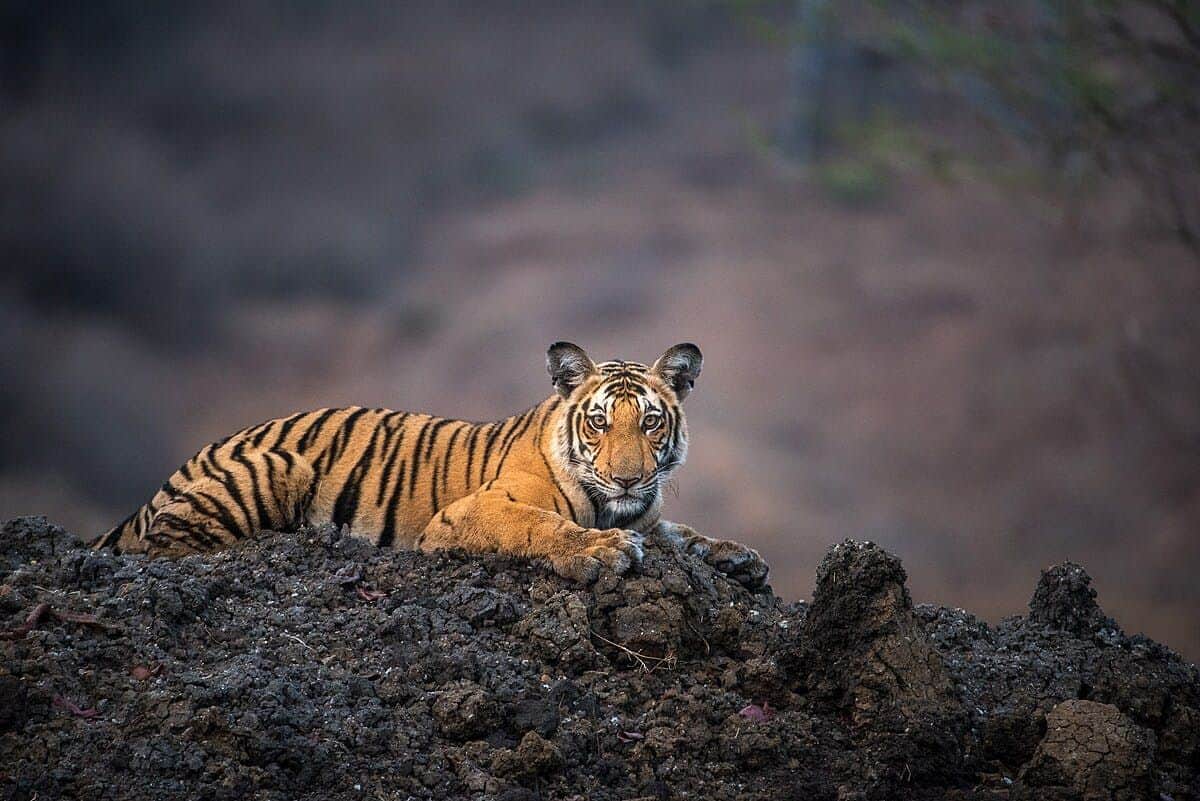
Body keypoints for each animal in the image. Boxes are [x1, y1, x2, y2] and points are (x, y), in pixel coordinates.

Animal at [92, 342, 768, 587]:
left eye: (650, 422)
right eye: (599, 422)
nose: (628, 477)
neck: (616, 505)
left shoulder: (650, 516)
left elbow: (682, 533)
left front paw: (739, 557)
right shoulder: (472, 511)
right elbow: (539, 525)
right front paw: (600, 552)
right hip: (278, 468)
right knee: (164, 548)